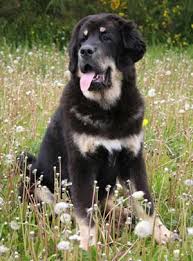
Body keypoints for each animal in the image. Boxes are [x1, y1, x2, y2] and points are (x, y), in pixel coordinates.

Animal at [19, 13, 173, 249]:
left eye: (106, 36)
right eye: (82, 39)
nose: (85, 51)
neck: (107, 109)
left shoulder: (132, 159)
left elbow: (146, 204)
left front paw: (163, 235)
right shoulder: (82, 164)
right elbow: (85, 212)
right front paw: (88, 247)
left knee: (109, 207)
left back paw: (123, 216)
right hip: (35, 178)